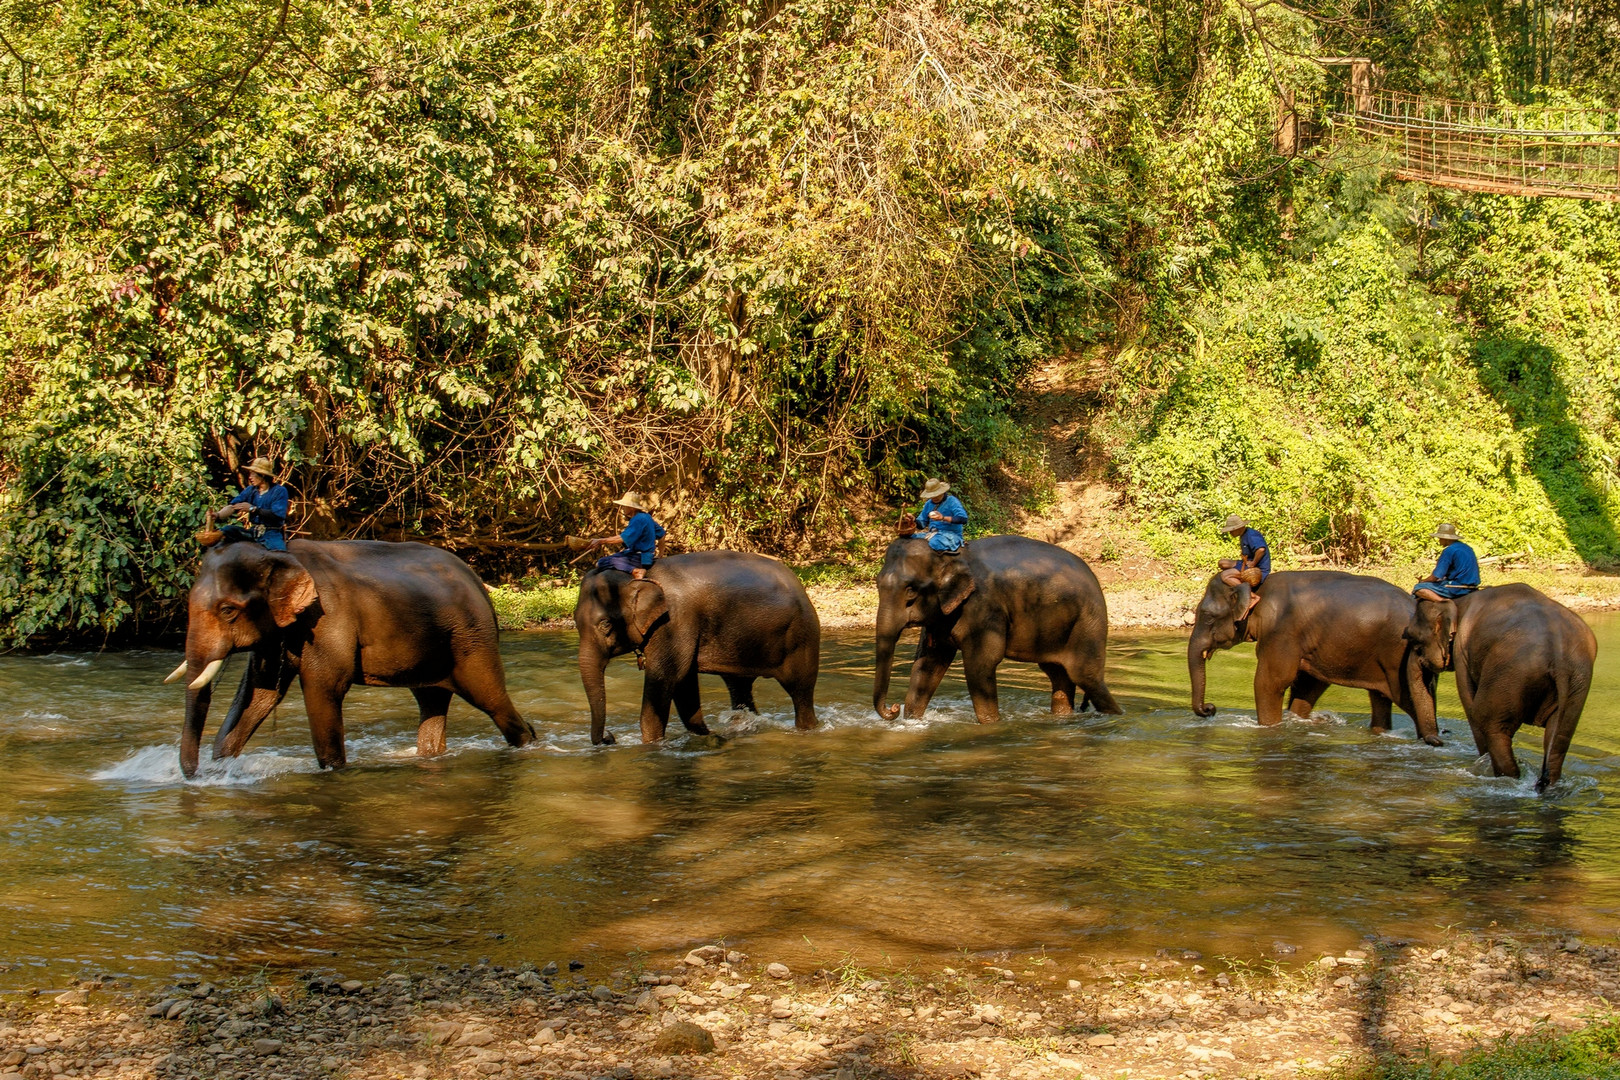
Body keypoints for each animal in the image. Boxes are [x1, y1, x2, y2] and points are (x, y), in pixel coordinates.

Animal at [174, 540, 534, 777]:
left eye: (227, 610)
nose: (195, 775)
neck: (278, 553)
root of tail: (479, 583)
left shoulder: (328, 621)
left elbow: (324, 688)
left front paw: (334, 771)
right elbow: (259, 695)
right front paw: (222, 765)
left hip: (472, 640)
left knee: (491, 700)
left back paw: (528, 742)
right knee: (431, 699)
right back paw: (429, 757)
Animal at [573, 550, 822, 744]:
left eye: (605, 624)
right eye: (575, 621)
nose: (609, 736)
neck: (640, 577)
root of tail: (799, 584)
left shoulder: (674, 621)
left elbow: (666, 678)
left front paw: (652, 745)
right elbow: (685, 685)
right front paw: (706, 735)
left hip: (802, 637)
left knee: (800, 692)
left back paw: (807, 729)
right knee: (739, 688)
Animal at [868, 534, 1121, 722]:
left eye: (910, 591)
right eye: (878, 585)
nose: (893, 708)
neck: (953, 556)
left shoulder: (984, 606)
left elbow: (981, 664)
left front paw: (991, 725)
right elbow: (928, 663)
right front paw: (911, 722)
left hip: (1089, 622)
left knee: (1085, 676)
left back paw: (1115, 717)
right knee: (1059, 674)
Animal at [1185, 566, 1438, 744]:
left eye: (1208, 616)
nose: (1210, 709)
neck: (1258, 591)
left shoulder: (1281, 631)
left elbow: (1271, 682)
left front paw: (1269, 728)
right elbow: (1308, 685)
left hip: (1400, 659)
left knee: (1411, 702)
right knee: (1380, 699)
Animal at [1406, 586, 1594, 790]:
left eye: (1414, 639)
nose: (1441, 739)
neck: (1459, 601)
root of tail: (1558, 653)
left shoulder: (1462, 652)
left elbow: (1470, 707)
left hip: (1511, 671)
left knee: (1488, 722)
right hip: (1577, 681)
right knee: (1559, 736)